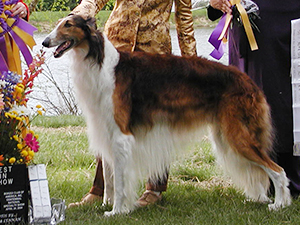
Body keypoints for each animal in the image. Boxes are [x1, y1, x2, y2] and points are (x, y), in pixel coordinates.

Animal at [42, 14, 290, 215]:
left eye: (68, 25)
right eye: (58, 23)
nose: (44, 42)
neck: (101, 62)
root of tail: (248, 81)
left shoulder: (121, 136)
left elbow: (121, 181)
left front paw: (117, 211)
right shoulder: (106, 131)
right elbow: (111, 178)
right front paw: (107, 204)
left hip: (237, 135)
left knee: (278, 170)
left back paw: (280, 204)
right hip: (227, 135)